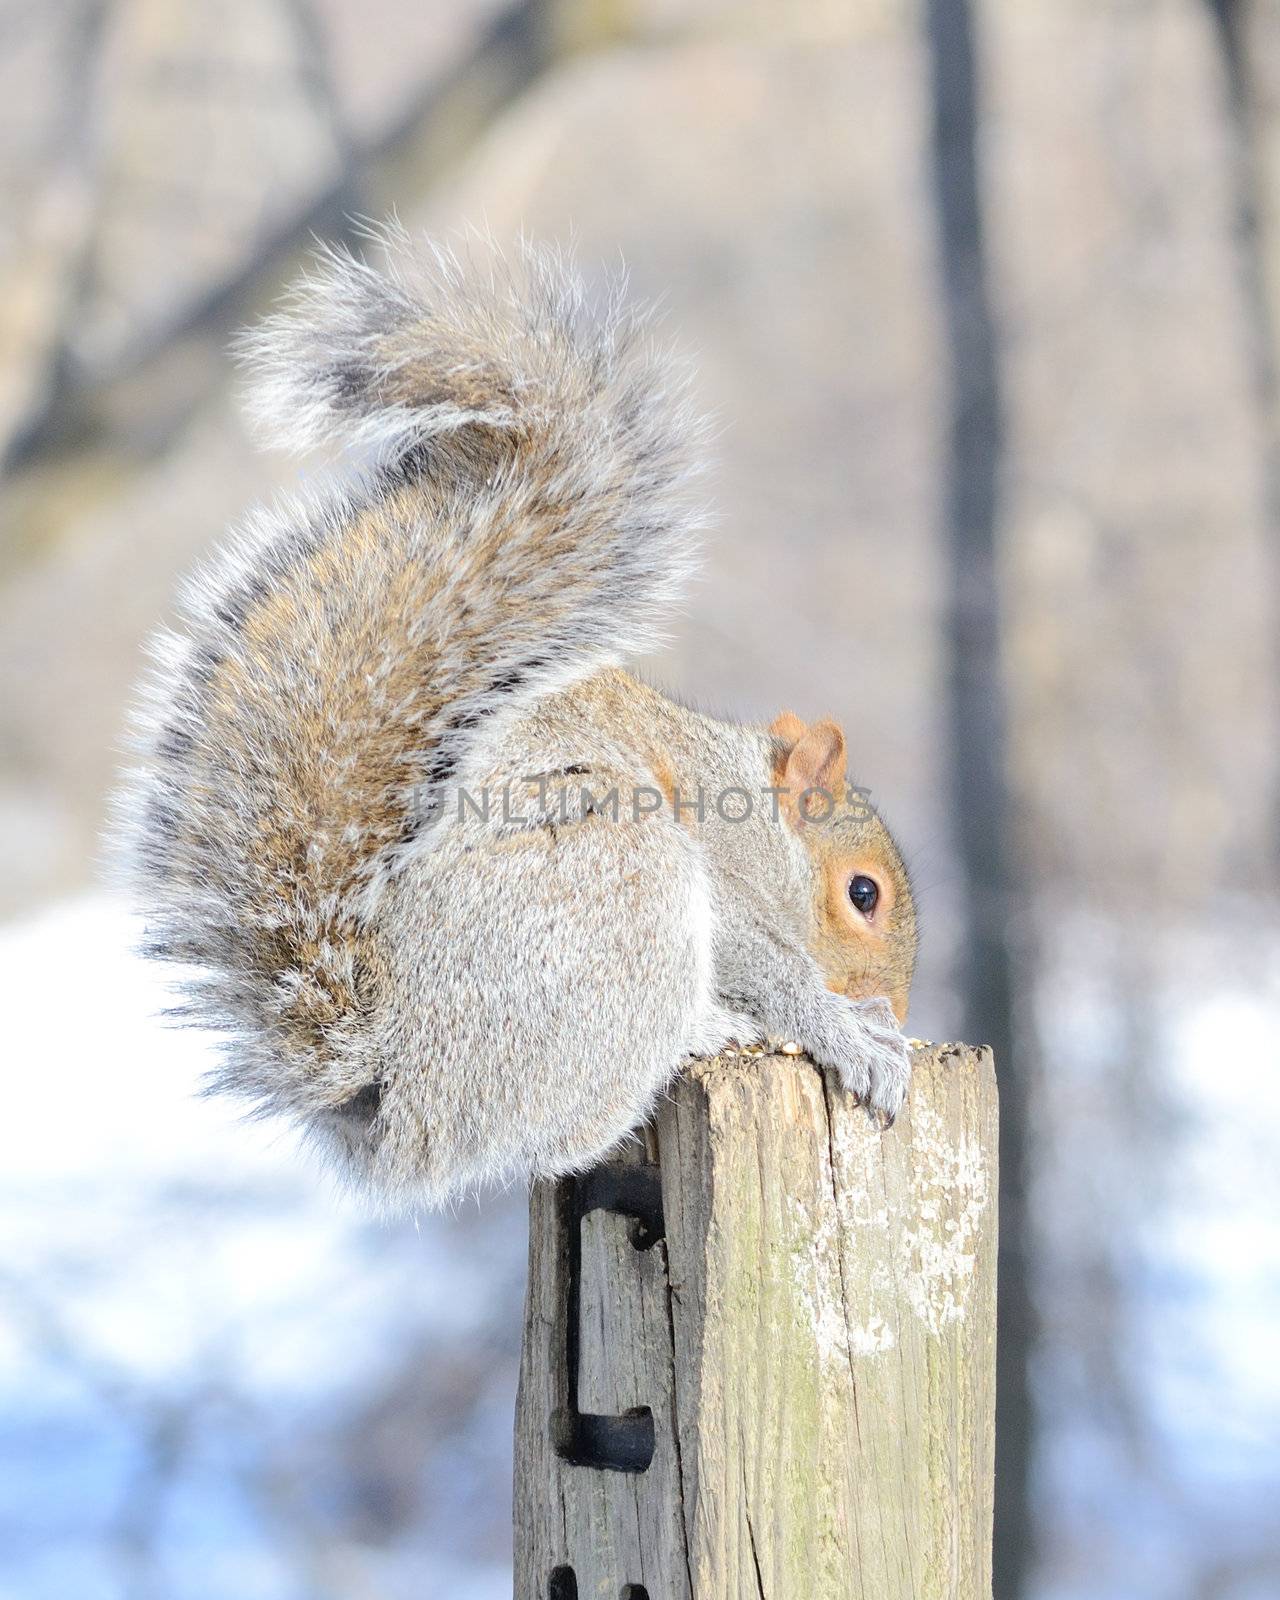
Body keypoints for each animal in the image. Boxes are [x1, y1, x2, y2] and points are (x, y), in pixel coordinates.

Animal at [115, 232, 915, 1203]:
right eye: (863, 894)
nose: (899, 1008)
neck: (757, 811)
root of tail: (399, 1083)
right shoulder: (725, 868)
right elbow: (762, 963)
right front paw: (853, 1032)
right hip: (613, 877)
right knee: (562, 1135)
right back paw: (700, 1036)